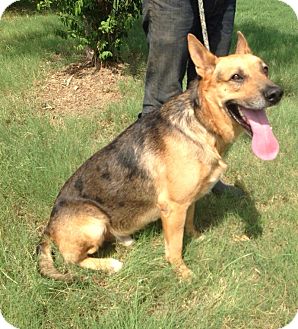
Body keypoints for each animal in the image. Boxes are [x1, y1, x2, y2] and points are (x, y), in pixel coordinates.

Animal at [36, 32, 282, 280]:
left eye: (265, 69)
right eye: (236, 77)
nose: (276, 93)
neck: (201, 125)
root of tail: (48, 227)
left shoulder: (187, 202)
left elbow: (189, 223)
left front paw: (196, 237)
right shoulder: (173, 207)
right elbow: (174, 248)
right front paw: (183, 273)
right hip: (95, 222)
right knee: (74, 259)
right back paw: (110, 264)